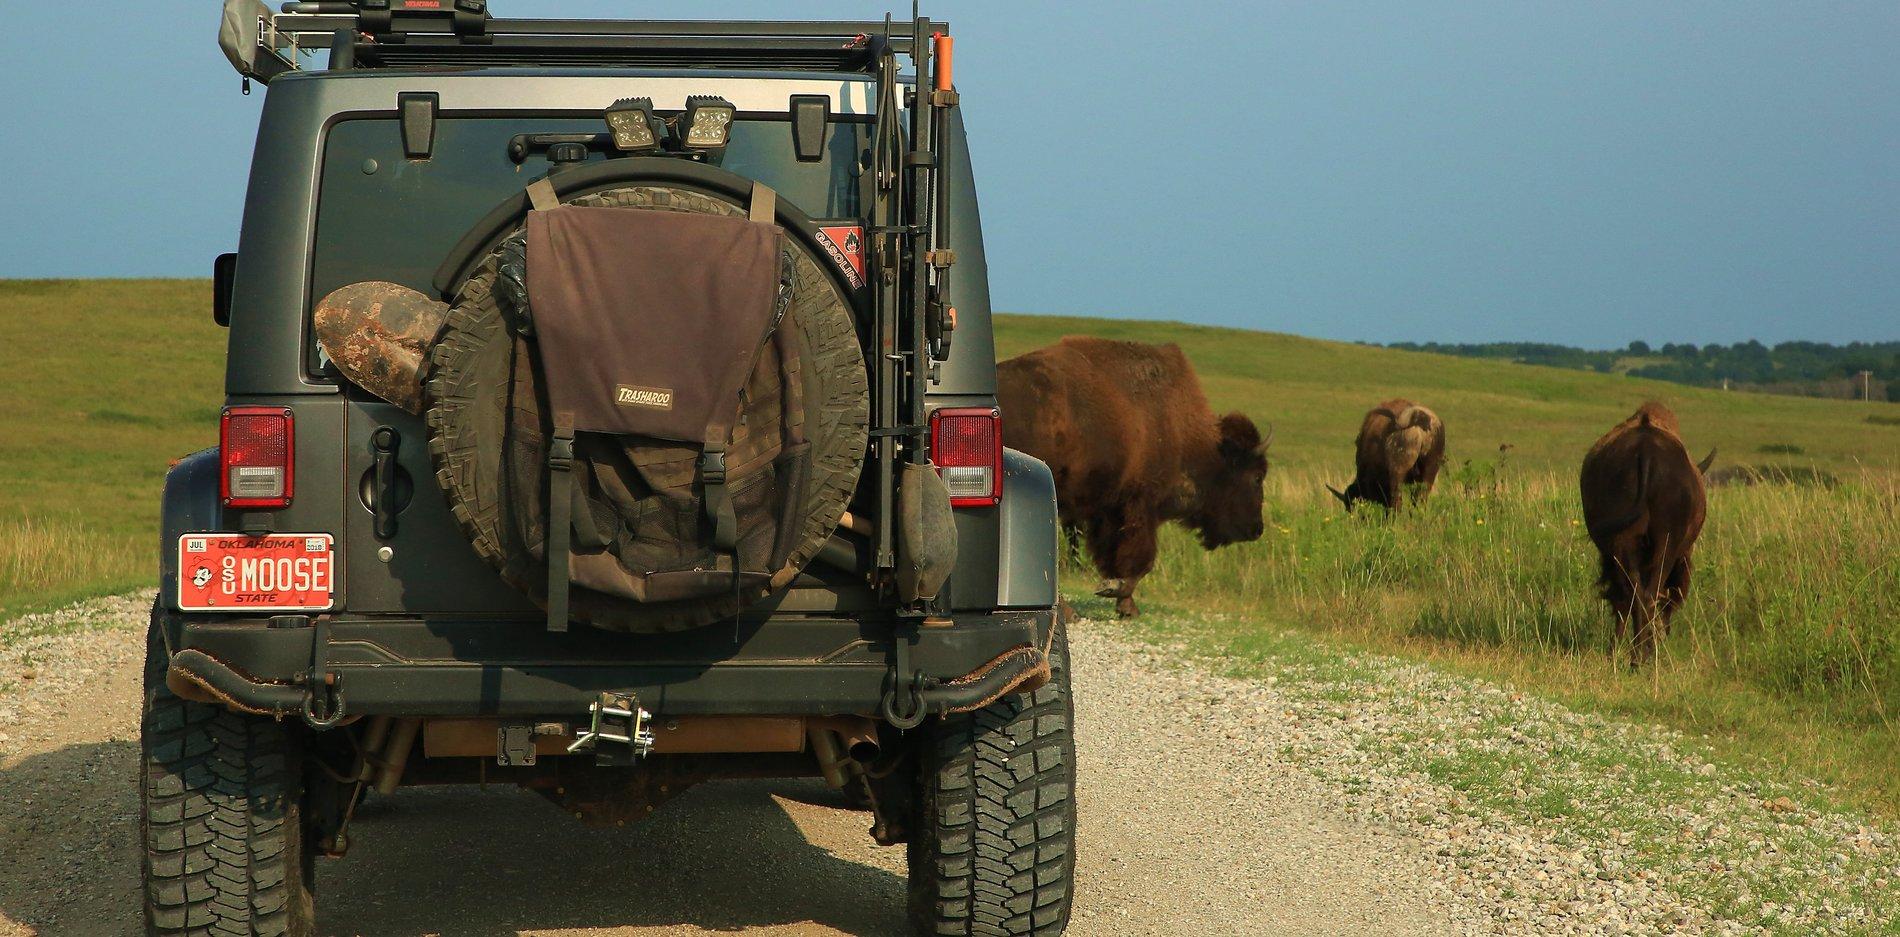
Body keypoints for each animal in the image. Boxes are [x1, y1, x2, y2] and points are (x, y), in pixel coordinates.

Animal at [997, 337, 1271, 617]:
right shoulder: (1140, 505)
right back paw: (1068, 611)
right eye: (1257, 476)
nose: (1256, 528)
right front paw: (1119, 596)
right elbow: (1140, 561)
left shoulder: (1106, 510)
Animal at [1579, 402, 1716, 665]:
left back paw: (1634, 657)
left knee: (1635, 595)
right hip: (1665, 546)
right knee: (1646, 595)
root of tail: (1646, 453)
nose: (1669, 631)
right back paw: (1644, 655)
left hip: (1625, 544)